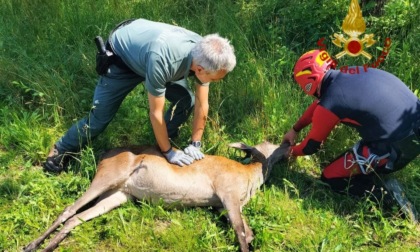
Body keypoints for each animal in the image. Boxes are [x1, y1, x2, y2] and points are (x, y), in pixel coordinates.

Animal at [23, 141, 288, 251]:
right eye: (271, 143)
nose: (289, 144)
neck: (249, 176)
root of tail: (104, 155)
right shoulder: (227, 192)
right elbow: (241, 233)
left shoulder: (224, 205)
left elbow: (248, 232)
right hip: (109, 175)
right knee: (69, 209)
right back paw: (31, 245)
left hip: (120, 194)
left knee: (76, 218)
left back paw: (47, 248)